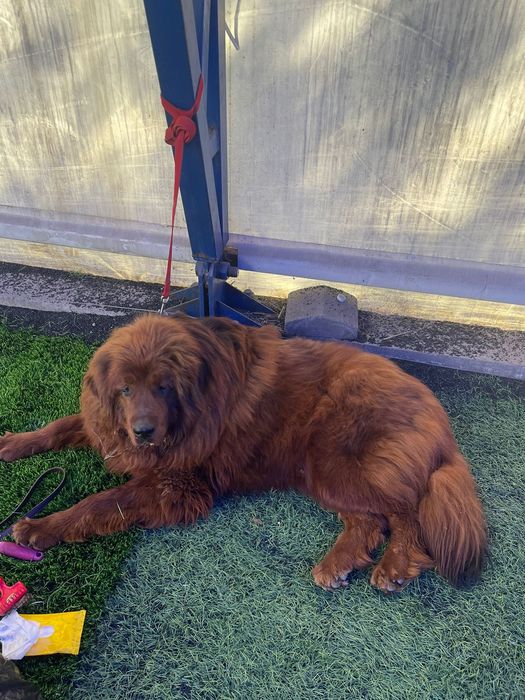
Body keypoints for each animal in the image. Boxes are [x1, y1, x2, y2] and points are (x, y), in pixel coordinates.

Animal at [0, 314, 487, 592]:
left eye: (163, 386)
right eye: (125, 388)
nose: (143, 431)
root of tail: (434, 410)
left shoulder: (177, 483)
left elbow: (101, 502)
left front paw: (41, 526)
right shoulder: (113, 431)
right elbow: (64, 426)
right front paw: (15, 441)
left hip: (334, 463)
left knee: (405, 511)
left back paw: (396, 565)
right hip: (322, 474)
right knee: (369, 521)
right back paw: (338, 564)